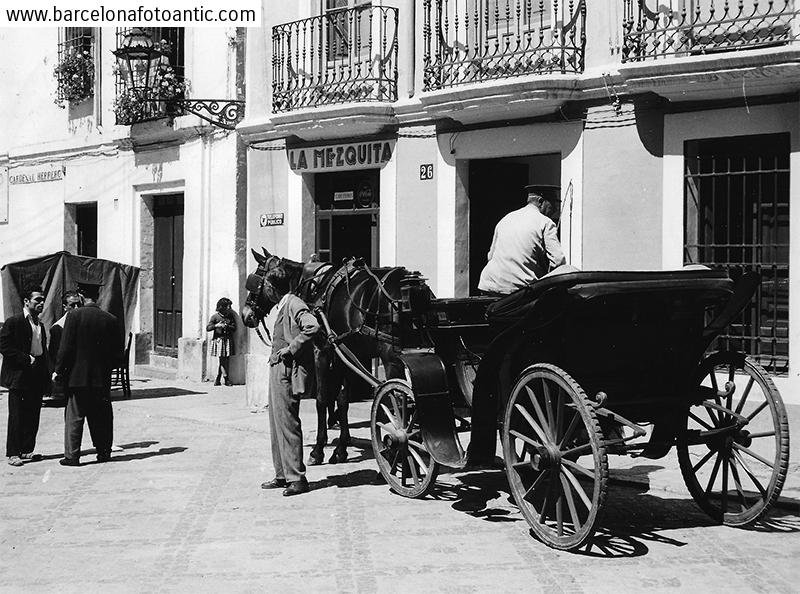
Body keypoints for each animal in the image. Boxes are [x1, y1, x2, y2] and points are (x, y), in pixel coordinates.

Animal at [241, 245, 410, 462]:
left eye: (255, 280)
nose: (246, 315)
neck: (315, 285)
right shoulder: (342, 354)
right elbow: (343, 400)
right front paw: (341, 448)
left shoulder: (321, 351)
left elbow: (322, 399)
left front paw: (318, 449)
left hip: (392, 360)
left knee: (399, 400)